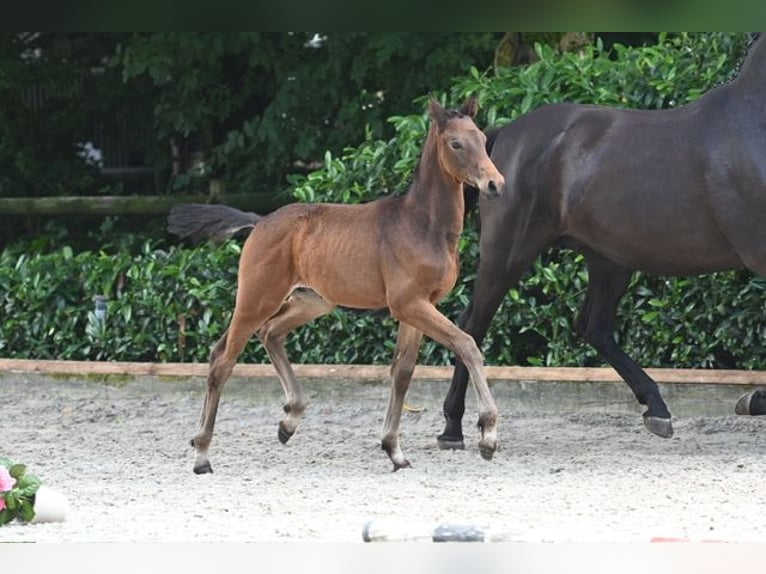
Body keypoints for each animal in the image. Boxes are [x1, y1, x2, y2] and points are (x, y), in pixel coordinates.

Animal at [169, 97, 508, 474]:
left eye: (482, 138)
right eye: (455, 143)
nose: (495, 183)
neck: (423, 225)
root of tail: (260, 222)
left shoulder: (419, 306)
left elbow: (403, 371)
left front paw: (394, 451)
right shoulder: (409, 304)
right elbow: (467, 345)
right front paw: (488, 435)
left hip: (312, 301)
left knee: (268, 334)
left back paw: (288, 420)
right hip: (257, 298)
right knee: (223, 360)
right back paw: (202, 454)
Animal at [438, 32, 766, 454]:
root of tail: (503, 136)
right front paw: (754, 399)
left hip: (608, 259)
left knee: (593, 326)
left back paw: (657, 410)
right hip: (509, 252)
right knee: (472, 325)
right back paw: (452, 428)